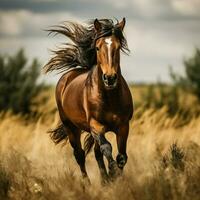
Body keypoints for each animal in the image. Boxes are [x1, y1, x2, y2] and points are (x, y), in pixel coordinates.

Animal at [44, 18, 134, 184]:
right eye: (97, 48)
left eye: (118, 47)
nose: (110, 78)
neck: (109, 98)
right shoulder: (96, 126)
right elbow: (107, 148)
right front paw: (112, 172)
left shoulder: (124, 126)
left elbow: (121, 157)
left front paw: (115, 178)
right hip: (71, 127)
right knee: (79, 155)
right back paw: (87, 184)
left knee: (97, 153)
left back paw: (104, 181)